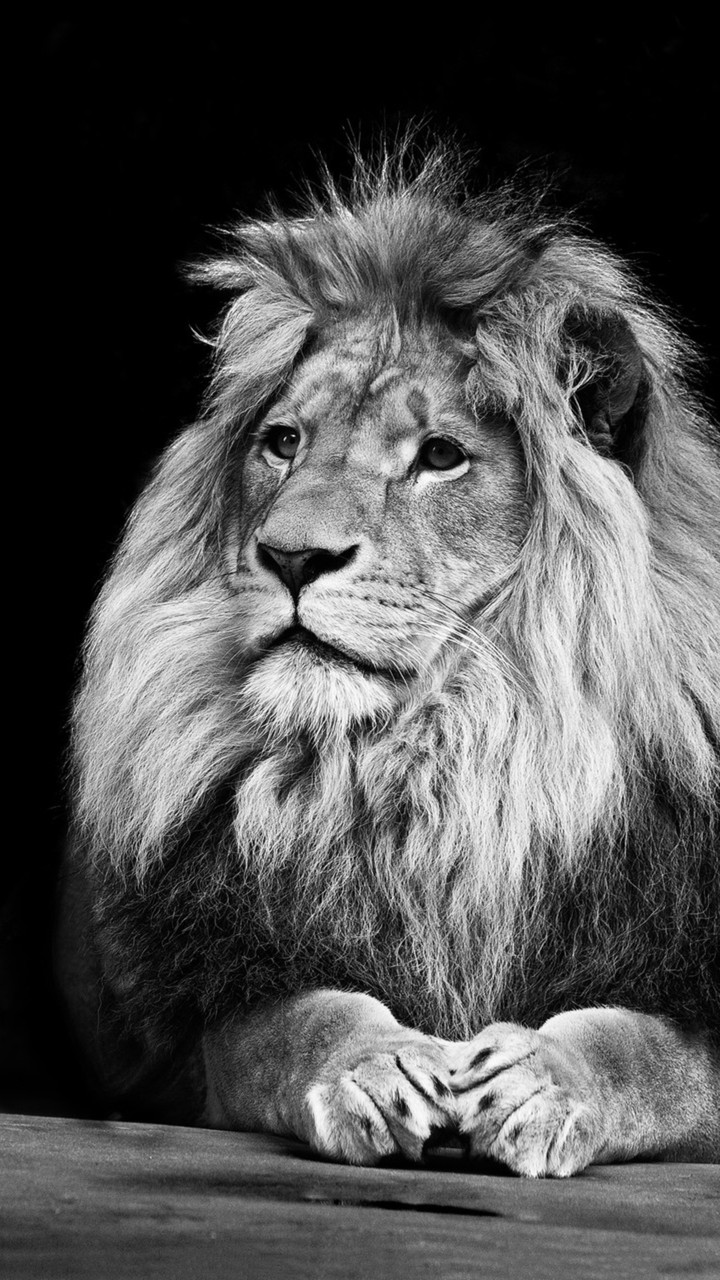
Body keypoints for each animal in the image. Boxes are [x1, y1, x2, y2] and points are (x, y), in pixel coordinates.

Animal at [57, 144, 720, 1177]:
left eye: (441, 456)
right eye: (282, 443)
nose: (290, 556)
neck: (452, 759)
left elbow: (650, 1053)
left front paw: (545, 1081)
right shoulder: (220, 1007)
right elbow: (297, 1023)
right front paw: (373, 1069)